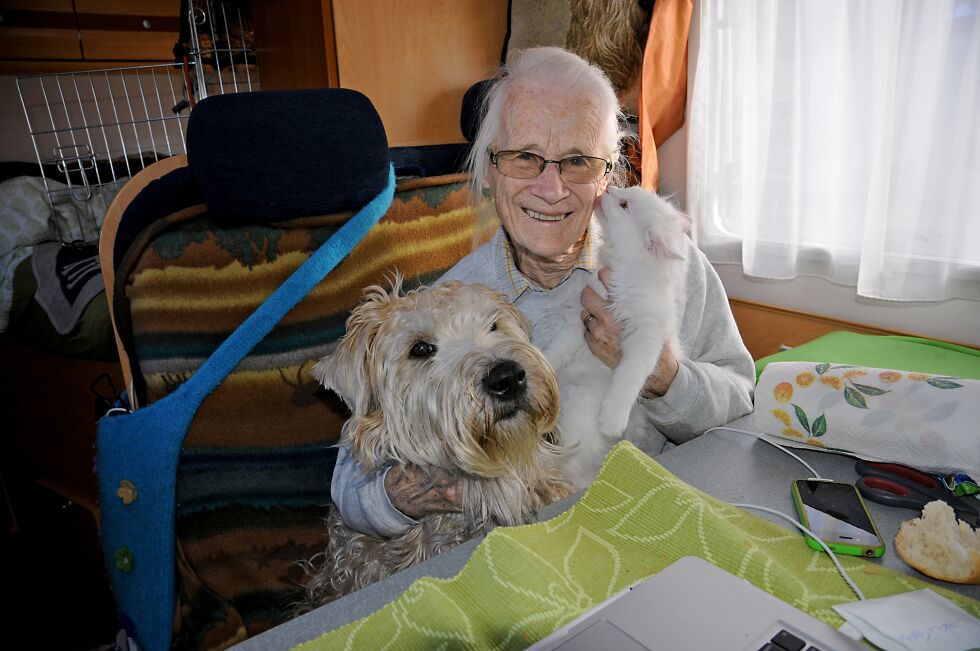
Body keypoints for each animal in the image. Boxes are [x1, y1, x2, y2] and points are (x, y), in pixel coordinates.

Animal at [548, 186, 692, 486]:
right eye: (627, 192)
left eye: (624, 204)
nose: (609, 189)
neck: (624, 277)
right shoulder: (579, 319)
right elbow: (558, 348)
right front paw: (544, 361)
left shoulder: (646, 337)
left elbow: (628, 377)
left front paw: (612, 418)